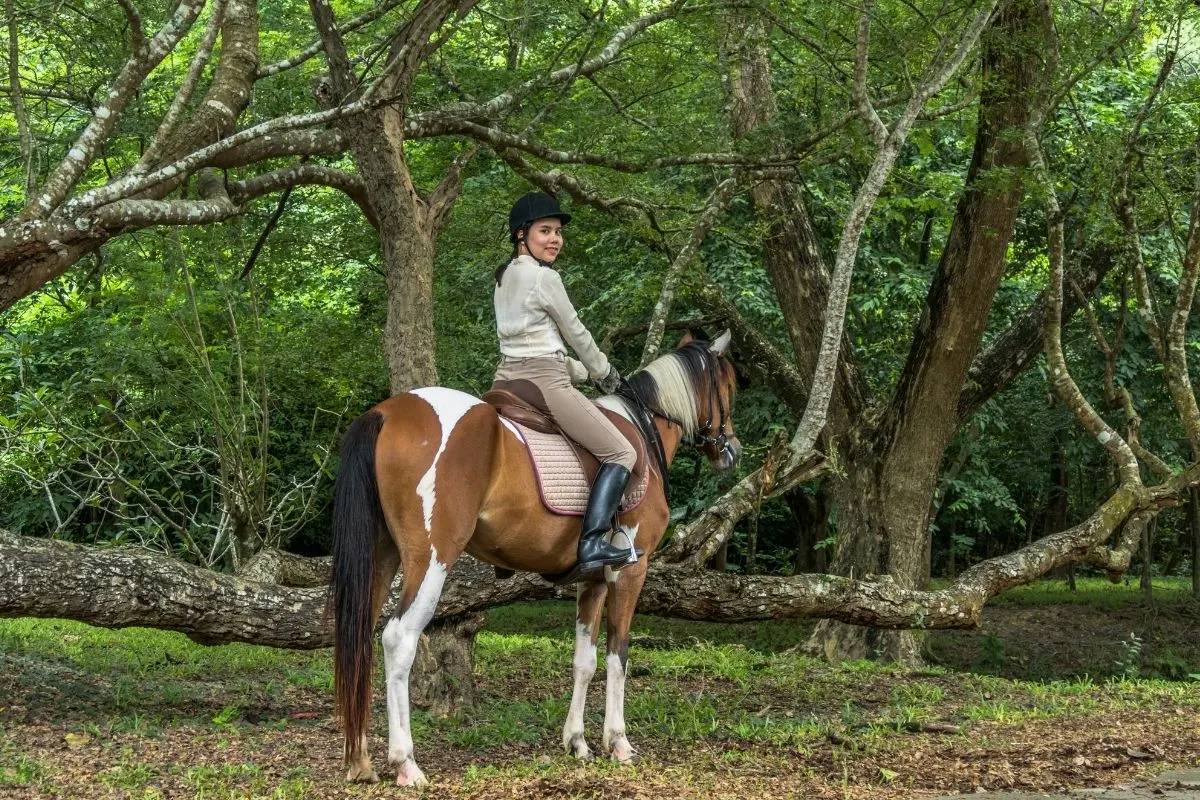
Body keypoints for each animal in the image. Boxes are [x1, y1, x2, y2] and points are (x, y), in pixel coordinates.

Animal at [328, 328, 739, 786]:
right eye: (730, 387)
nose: (732, 451)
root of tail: (386, 412)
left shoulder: (592, 580)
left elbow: (584, 660)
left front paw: (577, 742)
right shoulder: (630, 570)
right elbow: (618, 655)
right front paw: (618, 743)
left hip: (382, 560)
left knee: (359, 638)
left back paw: (359, 760)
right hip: (431, 559)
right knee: (399, 640)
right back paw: (405, 762)